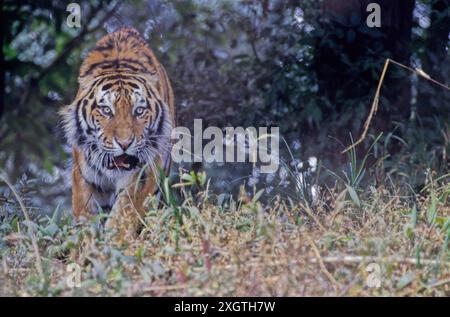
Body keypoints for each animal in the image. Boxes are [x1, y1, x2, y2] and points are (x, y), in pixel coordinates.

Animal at [61, 27, 176, 241]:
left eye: (139, 111)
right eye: (106, 110)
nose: (124, 143)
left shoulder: (143, 173)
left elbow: (124, 212)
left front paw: (115, 242)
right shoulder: (83, 176)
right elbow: (85, 216)